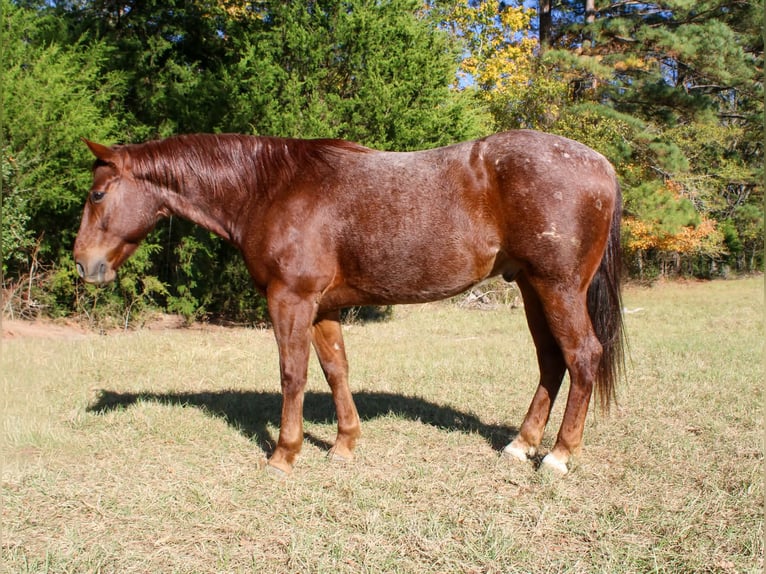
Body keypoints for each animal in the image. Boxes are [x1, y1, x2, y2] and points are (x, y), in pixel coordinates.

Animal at [74, 131, 624, 476]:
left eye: (97, 194)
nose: (83, 264)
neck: (271, 189)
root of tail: (601, 165)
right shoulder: (322, 307)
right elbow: (336, 369)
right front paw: (343, 446)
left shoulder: (290, 300)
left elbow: (292, 374)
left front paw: (284, 455)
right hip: (532, 288)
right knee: (551, 361)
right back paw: (521, 445)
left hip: (557, 287)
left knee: (582, 357)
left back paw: (557, 456)